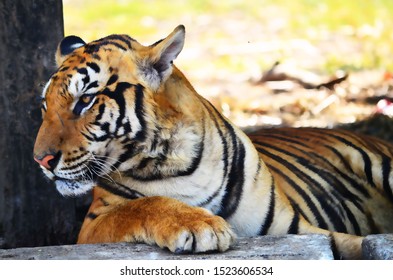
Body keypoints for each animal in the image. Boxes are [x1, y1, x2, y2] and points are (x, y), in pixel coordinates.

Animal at [33, 25, 392, 260]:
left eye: (85, 100)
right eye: (45, 105)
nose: (41, 160)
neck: (175, 159)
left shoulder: (297, 230)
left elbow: (355, 246)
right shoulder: (92, 225)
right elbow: (141, 205)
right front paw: (201, 226)